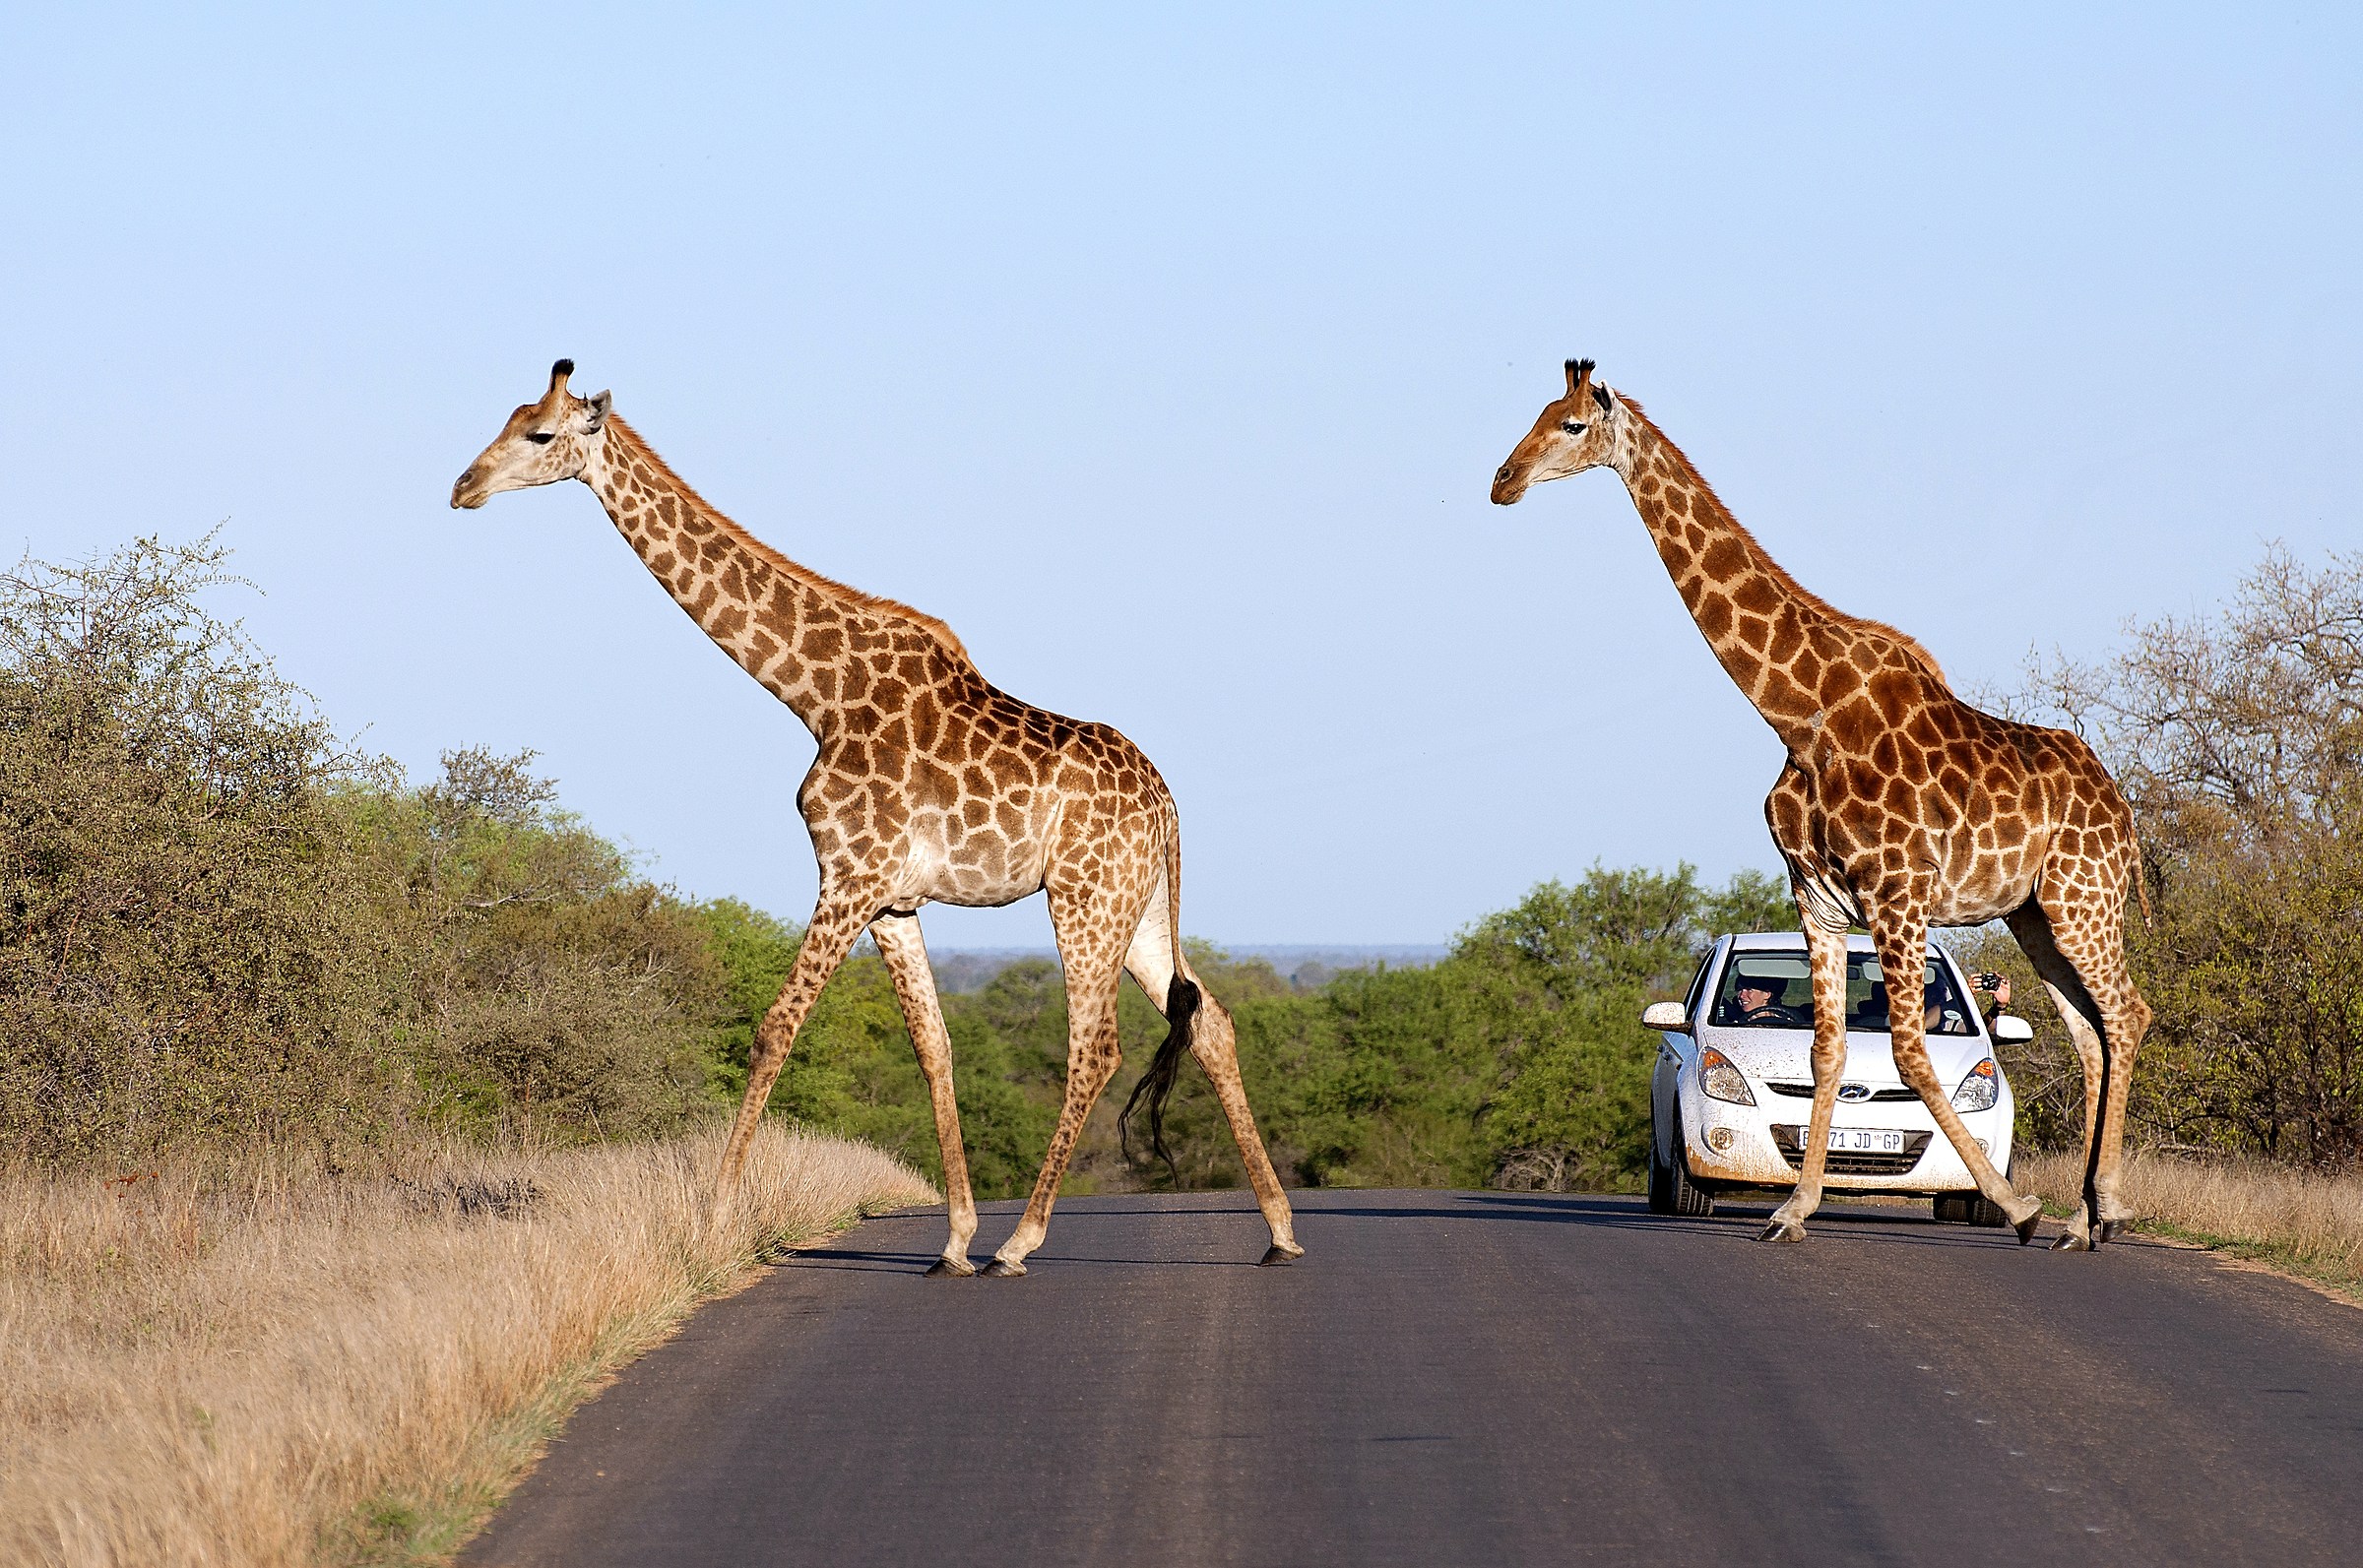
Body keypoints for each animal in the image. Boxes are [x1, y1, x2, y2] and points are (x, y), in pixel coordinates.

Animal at [451, 360, 1302, 1275]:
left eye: (540, 433)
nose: (463, 487)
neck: (818, 695)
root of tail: (1167, 803)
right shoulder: (893, 899)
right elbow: (934, 1046)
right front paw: (954, 1238)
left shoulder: (848, 874)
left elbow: (774, 1029)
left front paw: (712, 1222)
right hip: (1137, 909)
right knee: (1209, 1020)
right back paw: (1279, 1230)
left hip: (1084, 898)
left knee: (1095, 1045)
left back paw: (1024, 1240)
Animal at [1490, 359, 2150, 1250]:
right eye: (1535, 412)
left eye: (1569, 426)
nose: (1502, 480)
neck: (1801, 713)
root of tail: (2123, 811)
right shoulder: (1819, 895)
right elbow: (1828, 1052)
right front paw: (1793, 1208)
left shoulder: (1897, 892)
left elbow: (1907, 1051)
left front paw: (2016, 1206)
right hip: (2037, 915)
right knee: (2088, 1031)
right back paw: (2083, 1221)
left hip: (2084, 899)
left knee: (2128, 1012)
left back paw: (2102, 1204)